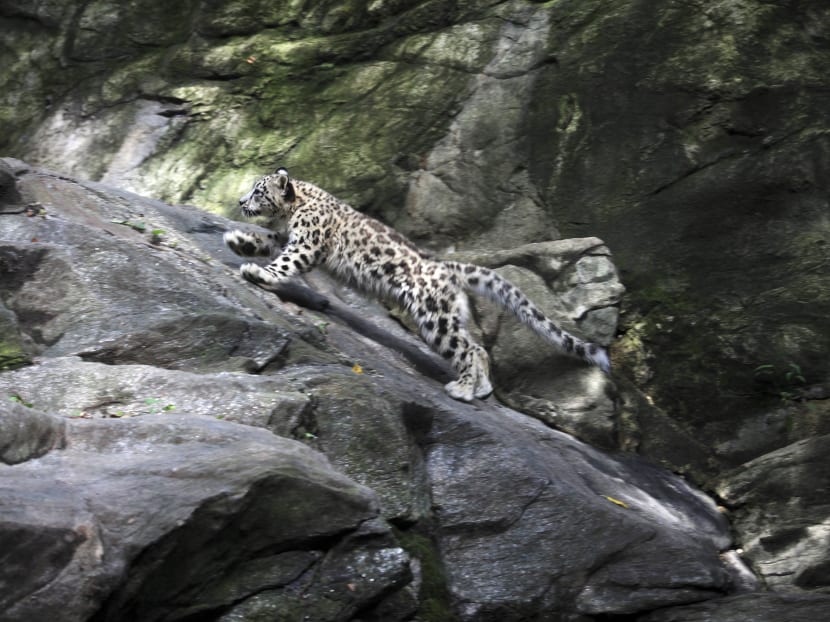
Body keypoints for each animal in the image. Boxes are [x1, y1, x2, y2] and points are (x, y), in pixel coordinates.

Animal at [224, 167, 610, 402]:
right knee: (478, 347)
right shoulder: (287, 237)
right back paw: (482, 388)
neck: (292, 213)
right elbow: (267, 240)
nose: (240, 201)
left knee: (467, 348)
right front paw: (238, 241)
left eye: (258, 191)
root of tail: (446, 266)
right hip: (449, 315)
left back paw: (462, 389)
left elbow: (284, 262)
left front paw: (259, 273)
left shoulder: (305, 244)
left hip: (433, 315)